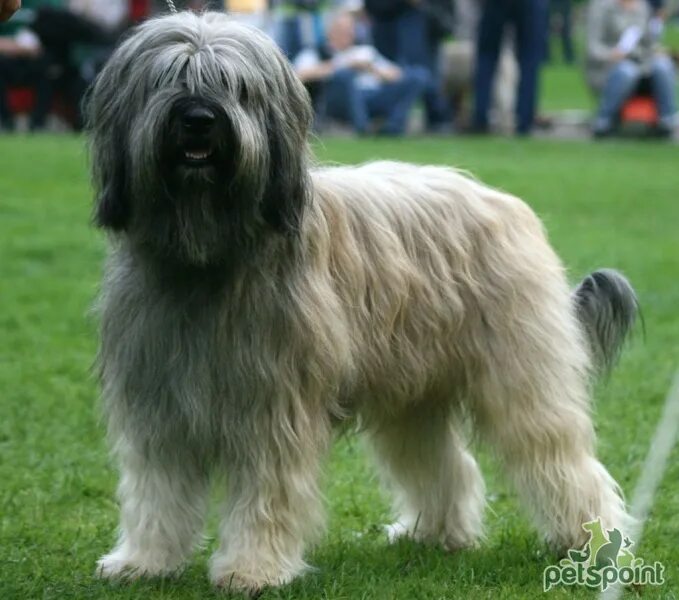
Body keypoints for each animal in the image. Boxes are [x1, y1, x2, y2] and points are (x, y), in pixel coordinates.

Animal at [87, 11, 640, 592]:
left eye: (234, 85)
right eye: (168, 77)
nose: (197, 119)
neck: (208, 254)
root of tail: (506, 204)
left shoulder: (273, 407)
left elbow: (266, 494)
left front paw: (252, 569)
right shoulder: (158, 403)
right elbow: (157, 492)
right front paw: (143, 561)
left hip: (521, 375)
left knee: (560, 456)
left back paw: (595, 546)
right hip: (413, 389)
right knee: (444, 462)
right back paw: (435, 533)